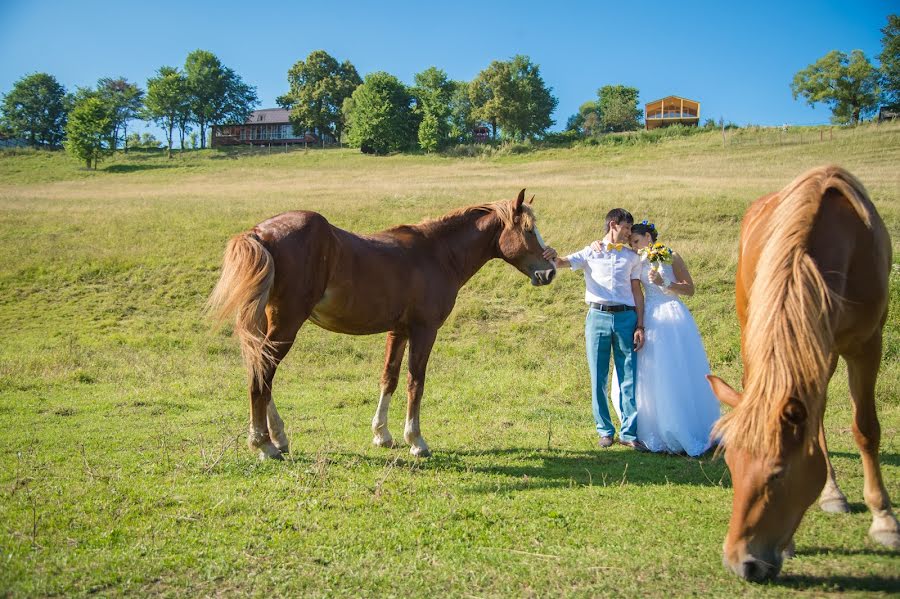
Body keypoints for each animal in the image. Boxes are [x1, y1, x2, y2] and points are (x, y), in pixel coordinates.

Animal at [207, 190, 556, 462]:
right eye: (528, 230)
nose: (550, 271)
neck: (436, 254)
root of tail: (260, 232)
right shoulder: (424, 331)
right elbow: (416, 382)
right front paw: (416, 440)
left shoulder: (398, 331)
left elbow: (389, 378)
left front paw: (382, 434)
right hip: (286, 325)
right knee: (262, 374)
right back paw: (264, 444)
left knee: (260, 371)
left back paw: (278, 437)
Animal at [708, 164, 896, 580]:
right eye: (730, 465)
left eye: (778, 473)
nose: (741, 563)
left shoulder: (867, 344)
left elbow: (866, 429)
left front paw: (885, 520)